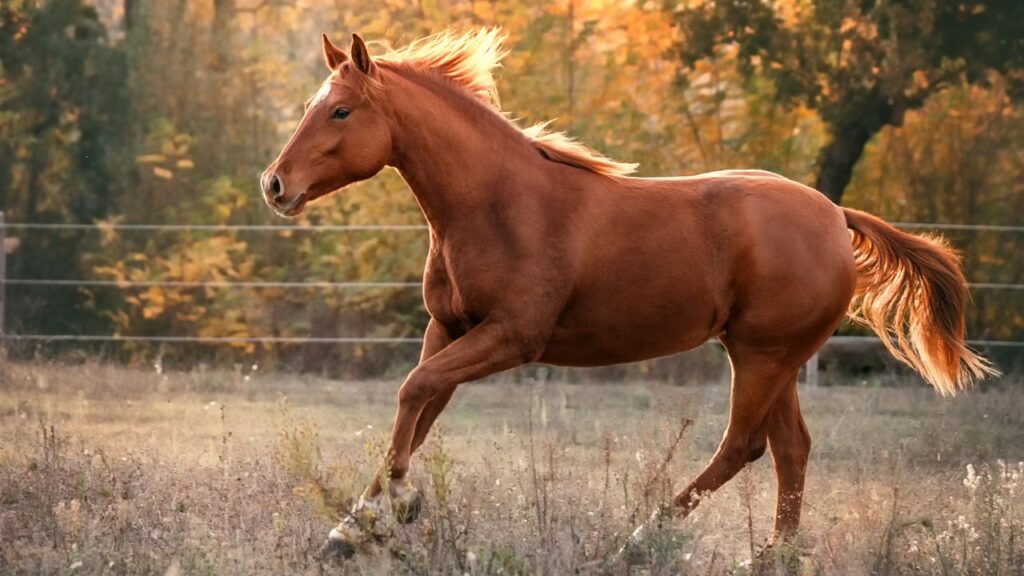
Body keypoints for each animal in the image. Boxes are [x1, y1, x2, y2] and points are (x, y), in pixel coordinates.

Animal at [260, 28, 996, 559]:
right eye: (312, 107)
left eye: (341, 110)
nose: (275, 184)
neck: (497, 204)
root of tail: (837, 216)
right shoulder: (449, 328)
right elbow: (416, 408)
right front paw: (350, 531)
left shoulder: (512, 337)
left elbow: (414, 393)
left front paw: (397, 508)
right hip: (774, 357)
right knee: (790, 450)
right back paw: (771, 557)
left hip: (762, 355)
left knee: (743, 446)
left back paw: (638, 542)